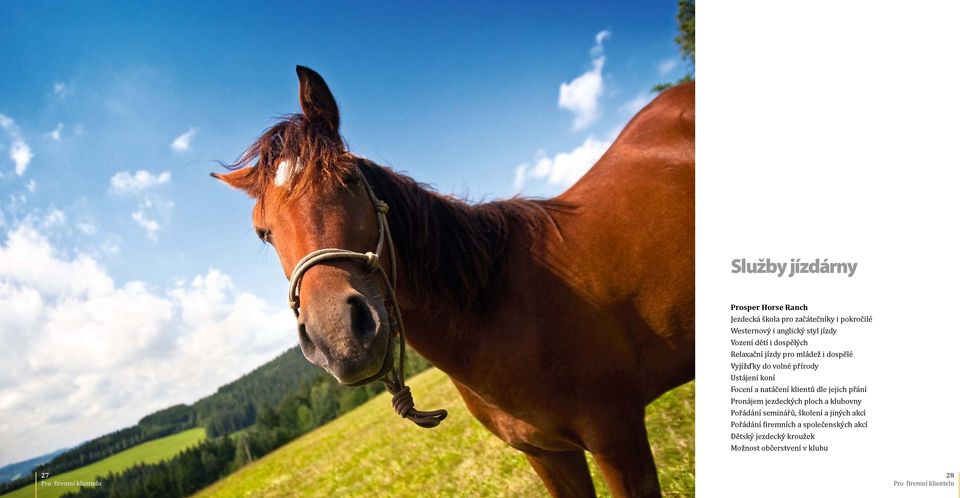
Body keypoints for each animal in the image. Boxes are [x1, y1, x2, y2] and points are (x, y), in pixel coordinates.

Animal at [214, 65, 692, 494]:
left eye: (347, 179)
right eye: (263, 233)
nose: (337, 337)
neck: (499, 313)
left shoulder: (618, 438)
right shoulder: (548, 455)